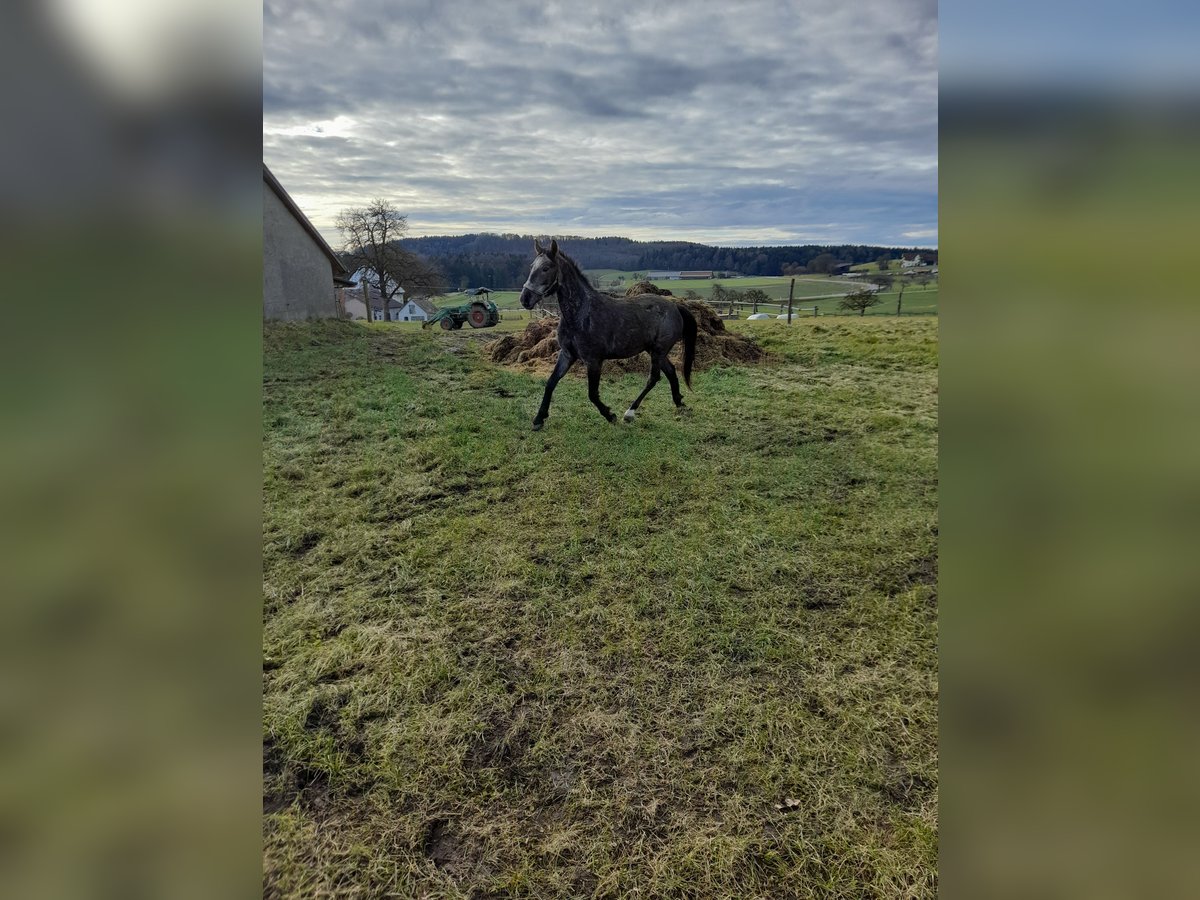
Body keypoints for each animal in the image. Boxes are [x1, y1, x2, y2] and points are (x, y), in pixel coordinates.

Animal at [518, 241, 700, 432]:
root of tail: (675, 307)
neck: (581, 314)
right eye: (532, 266)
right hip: (654, 351)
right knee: (671, 371)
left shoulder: (593, 360)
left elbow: (592, 394)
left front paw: (610, 415)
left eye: (546, 268)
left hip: (658, 351)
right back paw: (679, 403)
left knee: (653, 378)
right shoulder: (567, 355)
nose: (525, 299)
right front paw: (539, 419)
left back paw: (629, 413)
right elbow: (551, 383)